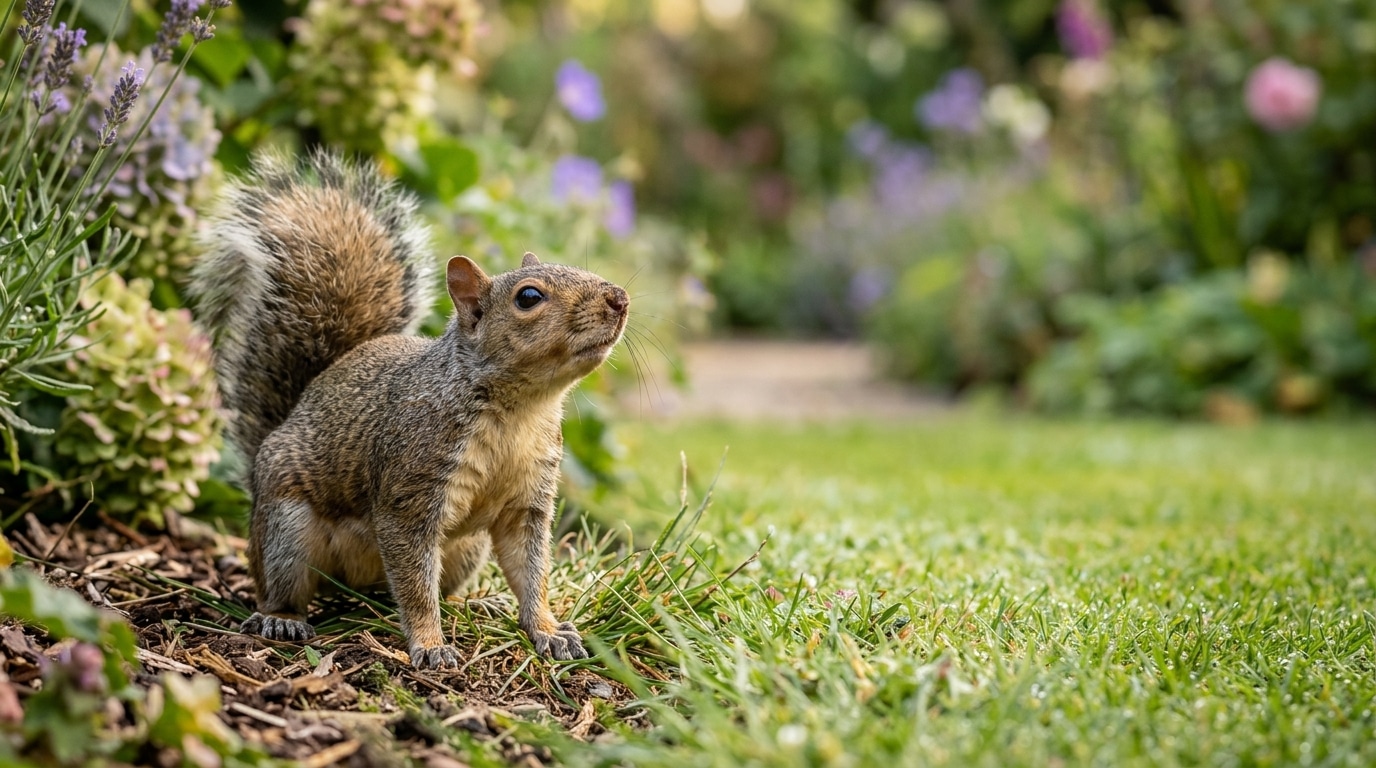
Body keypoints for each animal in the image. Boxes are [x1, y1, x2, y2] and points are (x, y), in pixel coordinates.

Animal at [189, 149, 629, 668]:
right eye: (528, 297)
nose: (620, 299)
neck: (520, 411)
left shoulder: (528, 503)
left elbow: (531, 572)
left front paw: (547, 630)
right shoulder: (411, 490)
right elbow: (417, 587)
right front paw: (430, 644)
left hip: (466, 550)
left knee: (418, 589)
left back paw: (473, 603)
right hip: (286, 530)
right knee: (285, 586)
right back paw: (282, 618)